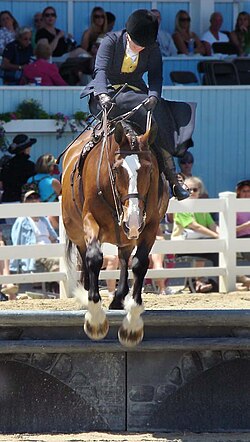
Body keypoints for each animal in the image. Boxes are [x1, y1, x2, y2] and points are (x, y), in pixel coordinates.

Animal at [61, 116, 169, 346]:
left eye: (149, 170)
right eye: (117, 169)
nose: (133, 219)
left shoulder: (150, 225)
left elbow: (139, 264)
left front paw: (132, 325)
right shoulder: (90, 220)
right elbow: (94, 258)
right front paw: (95, 320)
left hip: (127, 235)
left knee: (123, 257)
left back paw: (119, 297)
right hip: (76, 229)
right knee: (85, 256)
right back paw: (86, 293)